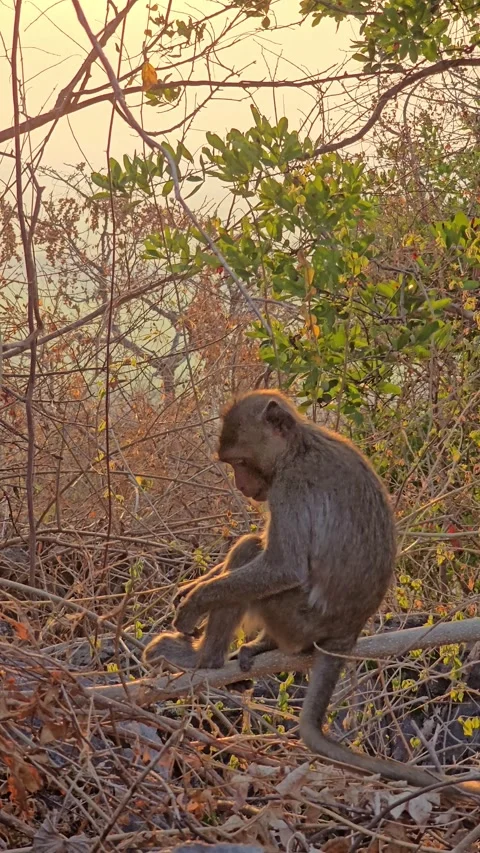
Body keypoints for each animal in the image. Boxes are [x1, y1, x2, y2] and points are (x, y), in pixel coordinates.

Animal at [143, 390, 480, 796]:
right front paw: (191, 588)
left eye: (240, 462)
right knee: (251, 550)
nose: (241, 485)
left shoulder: (289, 486)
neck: (297, 447)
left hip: (296, 618)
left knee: (253, 558)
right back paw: (260, 646)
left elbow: (284, 566)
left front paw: (197, 602)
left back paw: (201, 660)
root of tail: (347, 632)